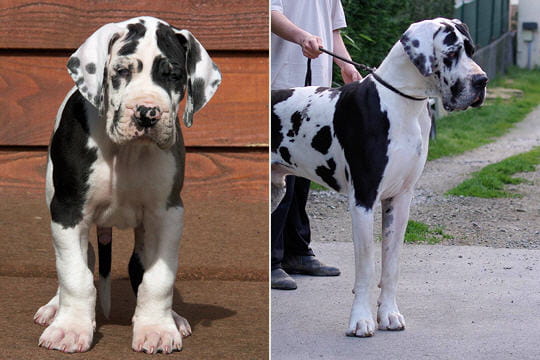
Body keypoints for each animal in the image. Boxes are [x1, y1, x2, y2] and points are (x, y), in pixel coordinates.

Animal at [32, 16, 221, 352]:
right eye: (121, 71)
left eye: (174, 76)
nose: (148, 113)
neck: (126, 152)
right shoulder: (68, 211)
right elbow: (75, 276)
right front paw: (69, 328)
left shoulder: (167, 214)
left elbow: (158, 279)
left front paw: (157, 328)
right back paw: (54, 307)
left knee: (138, 267)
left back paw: (174, 318)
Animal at [272, 17, 488, 338]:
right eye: (451, 53)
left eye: (471, 50)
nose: (482, 81)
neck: (402, 103)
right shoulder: (363, 198)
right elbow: (367, 267)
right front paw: (361, 320)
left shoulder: (400, 199)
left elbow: (391, 265)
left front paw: (388, 314)